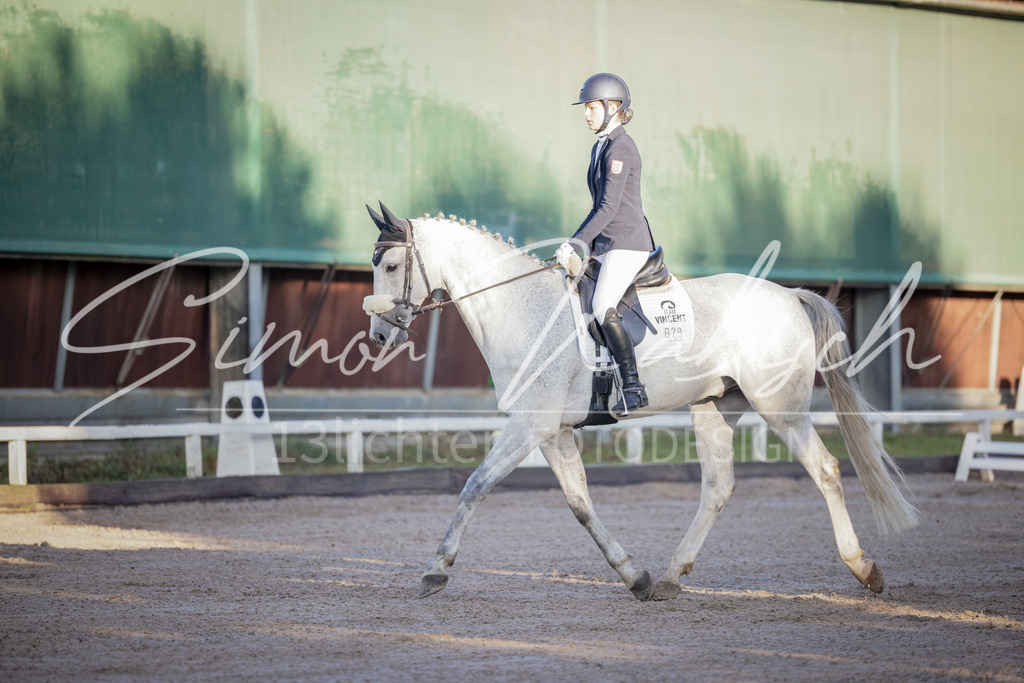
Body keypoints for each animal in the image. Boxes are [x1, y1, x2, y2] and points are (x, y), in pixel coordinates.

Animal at [363, 203, 919, 601]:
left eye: (390, 264)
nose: (379, 336)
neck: (520, 308)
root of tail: (790, 295)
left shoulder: (529, 425)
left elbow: (475, 485)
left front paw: (436, 570)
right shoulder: (554, 432)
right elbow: (580, 505)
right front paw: (634, 576)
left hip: (780, 406)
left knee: (825, 469)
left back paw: (865, 569)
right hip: (714, 407)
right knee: (718, 487)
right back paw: (671, 578)